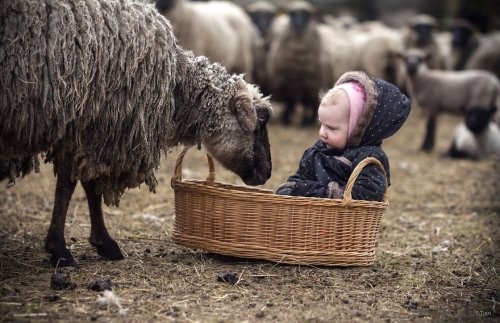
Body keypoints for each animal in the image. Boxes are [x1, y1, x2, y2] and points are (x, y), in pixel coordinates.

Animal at [0, 0, 274, 268]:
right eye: (261, 120)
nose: (268, 173)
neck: (174, 88)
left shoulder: (94, 130)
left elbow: (86, 183)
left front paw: (98, 242)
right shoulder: (91, 127)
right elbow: (74, 185)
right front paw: (64, 249)